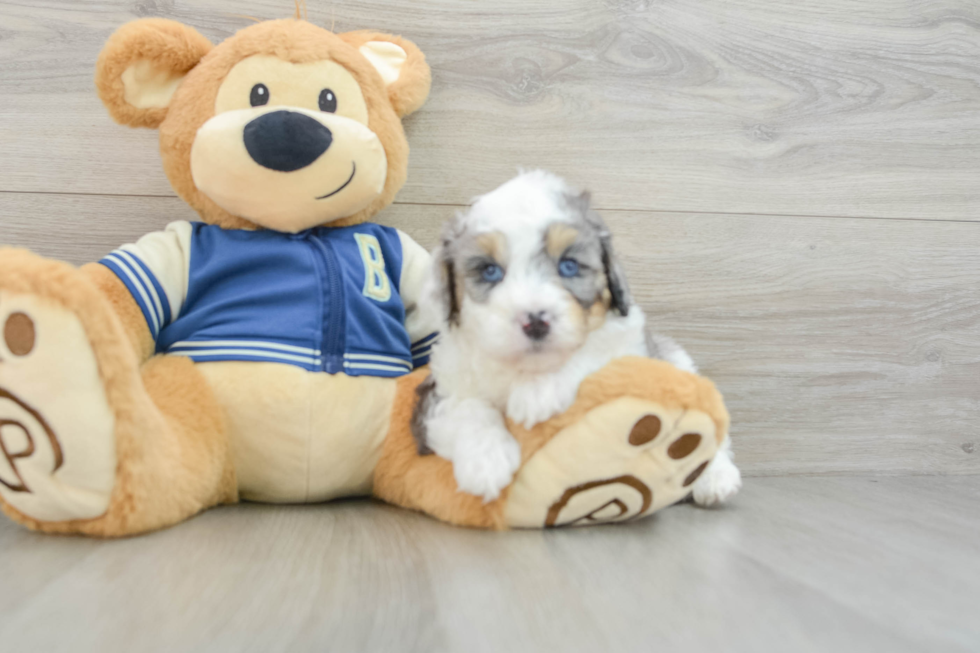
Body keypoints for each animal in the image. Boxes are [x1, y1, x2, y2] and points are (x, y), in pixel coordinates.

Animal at [414, 169, 744, 504]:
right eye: (489, 271)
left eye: (569, 266)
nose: (536, 322)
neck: (523, 368)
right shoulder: (438, 393)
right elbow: (465, 407)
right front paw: (486, 463)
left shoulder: (627, 347)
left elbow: (589, 353)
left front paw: (538, 392)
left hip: (677, 360)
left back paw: (716, 478)